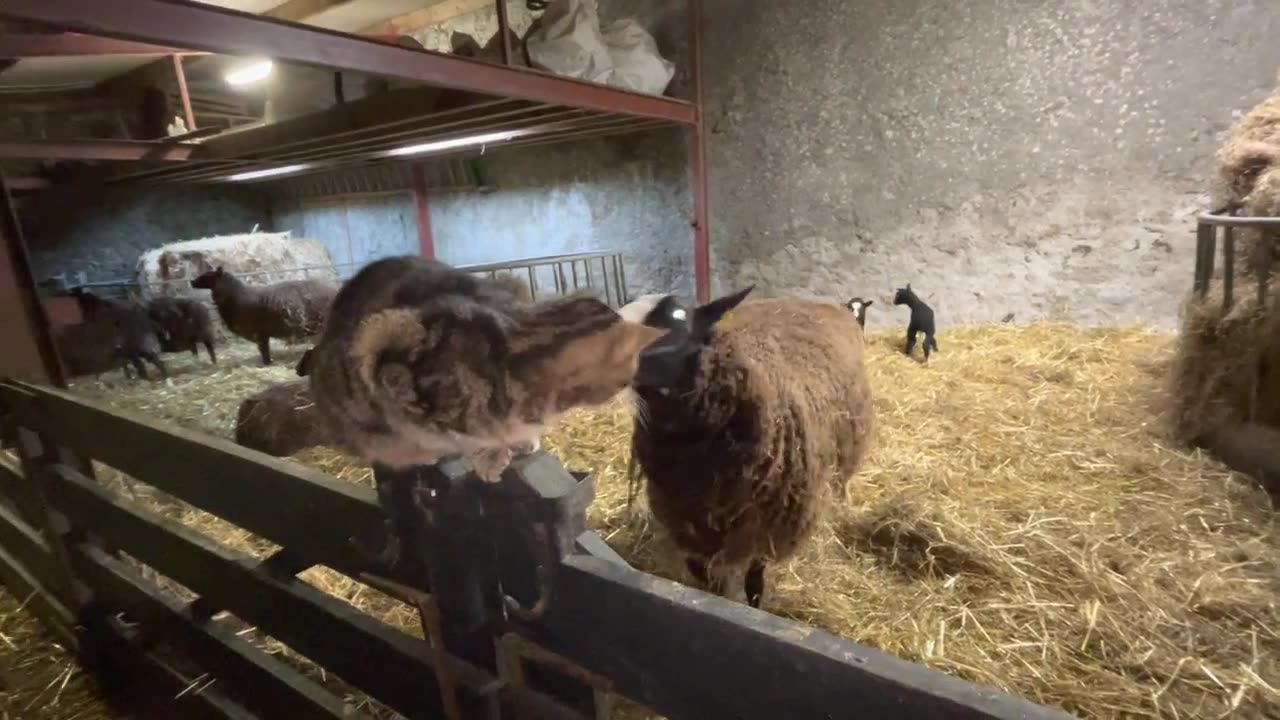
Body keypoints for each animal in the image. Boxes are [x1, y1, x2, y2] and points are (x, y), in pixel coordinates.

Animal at [190, 265, 340, 363]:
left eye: (209, 275)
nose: (191, 281)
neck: (237, 297)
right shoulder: (262, 333)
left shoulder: (259, 333)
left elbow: (264, 351)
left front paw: (267, 363)